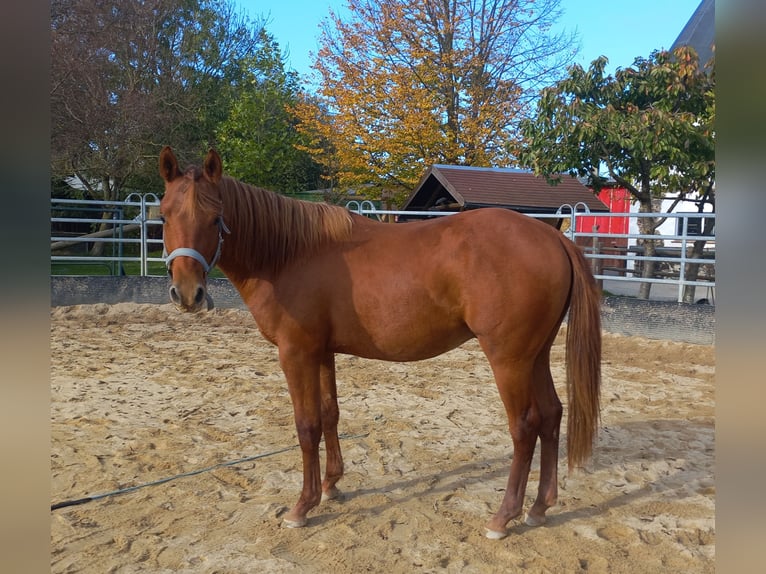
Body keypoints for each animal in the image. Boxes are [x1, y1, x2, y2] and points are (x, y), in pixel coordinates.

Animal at [158, 147, 600, 540]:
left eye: (216, 218)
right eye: (162, 214)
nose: (188, 294)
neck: (290, 254)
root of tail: (552, 237)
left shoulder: (296, 354)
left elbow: (306, 426)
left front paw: (303, 506)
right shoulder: (322, 353)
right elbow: (329, 415)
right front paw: (331, 486)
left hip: (509, 359)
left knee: (524, 427)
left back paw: (503, 517)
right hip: (536, 355)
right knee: (551, 415)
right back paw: (539, 507)